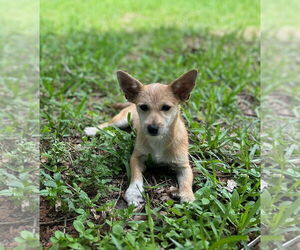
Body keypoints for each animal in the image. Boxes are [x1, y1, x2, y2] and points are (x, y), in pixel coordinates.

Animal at [84, 70, 197, 207]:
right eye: (143, 107)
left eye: (166, 107)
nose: (152, 128)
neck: (158, 140)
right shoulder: (136, 158)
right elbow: (136, 176)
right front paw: (134, 192)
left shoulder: (184, 166)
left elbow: (187, 182)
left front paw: (187, 195)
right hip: (121, 120)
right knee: (107, 124)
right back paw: (93, 130)